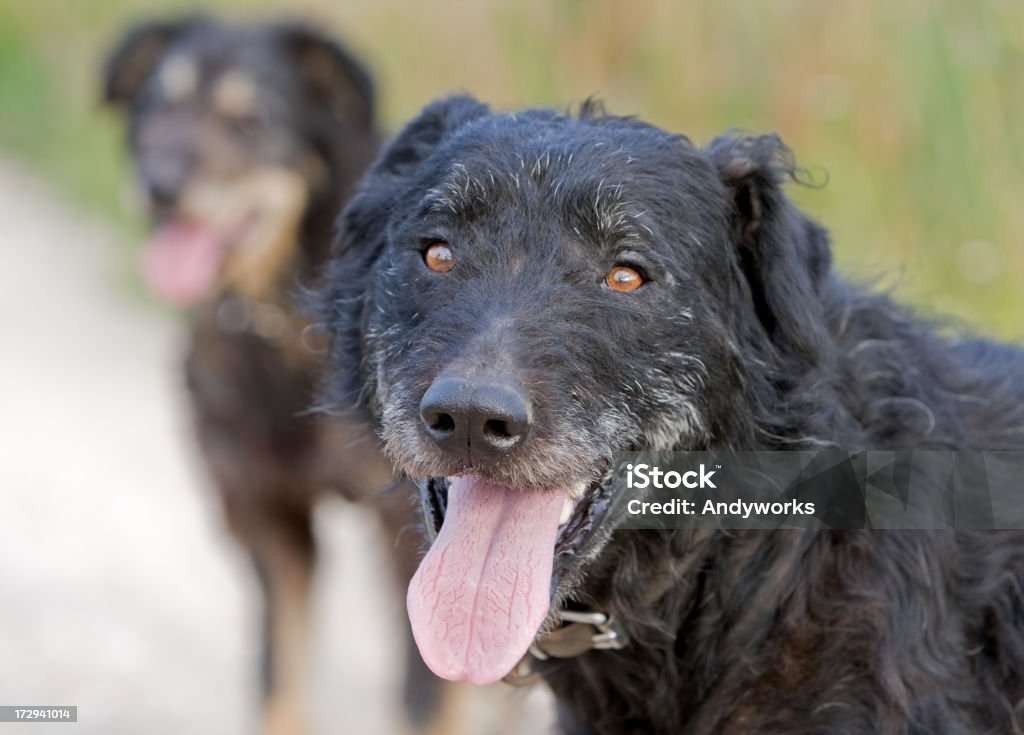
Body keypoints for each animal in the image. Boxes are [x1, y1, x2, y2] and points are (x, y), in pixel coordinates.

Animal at [103, 20, 456, 732]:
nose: (159, 183)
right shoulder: (266, 516)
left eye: (251, 120)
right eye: (155, 107)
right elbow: (277, 674)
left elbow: (427, 697)